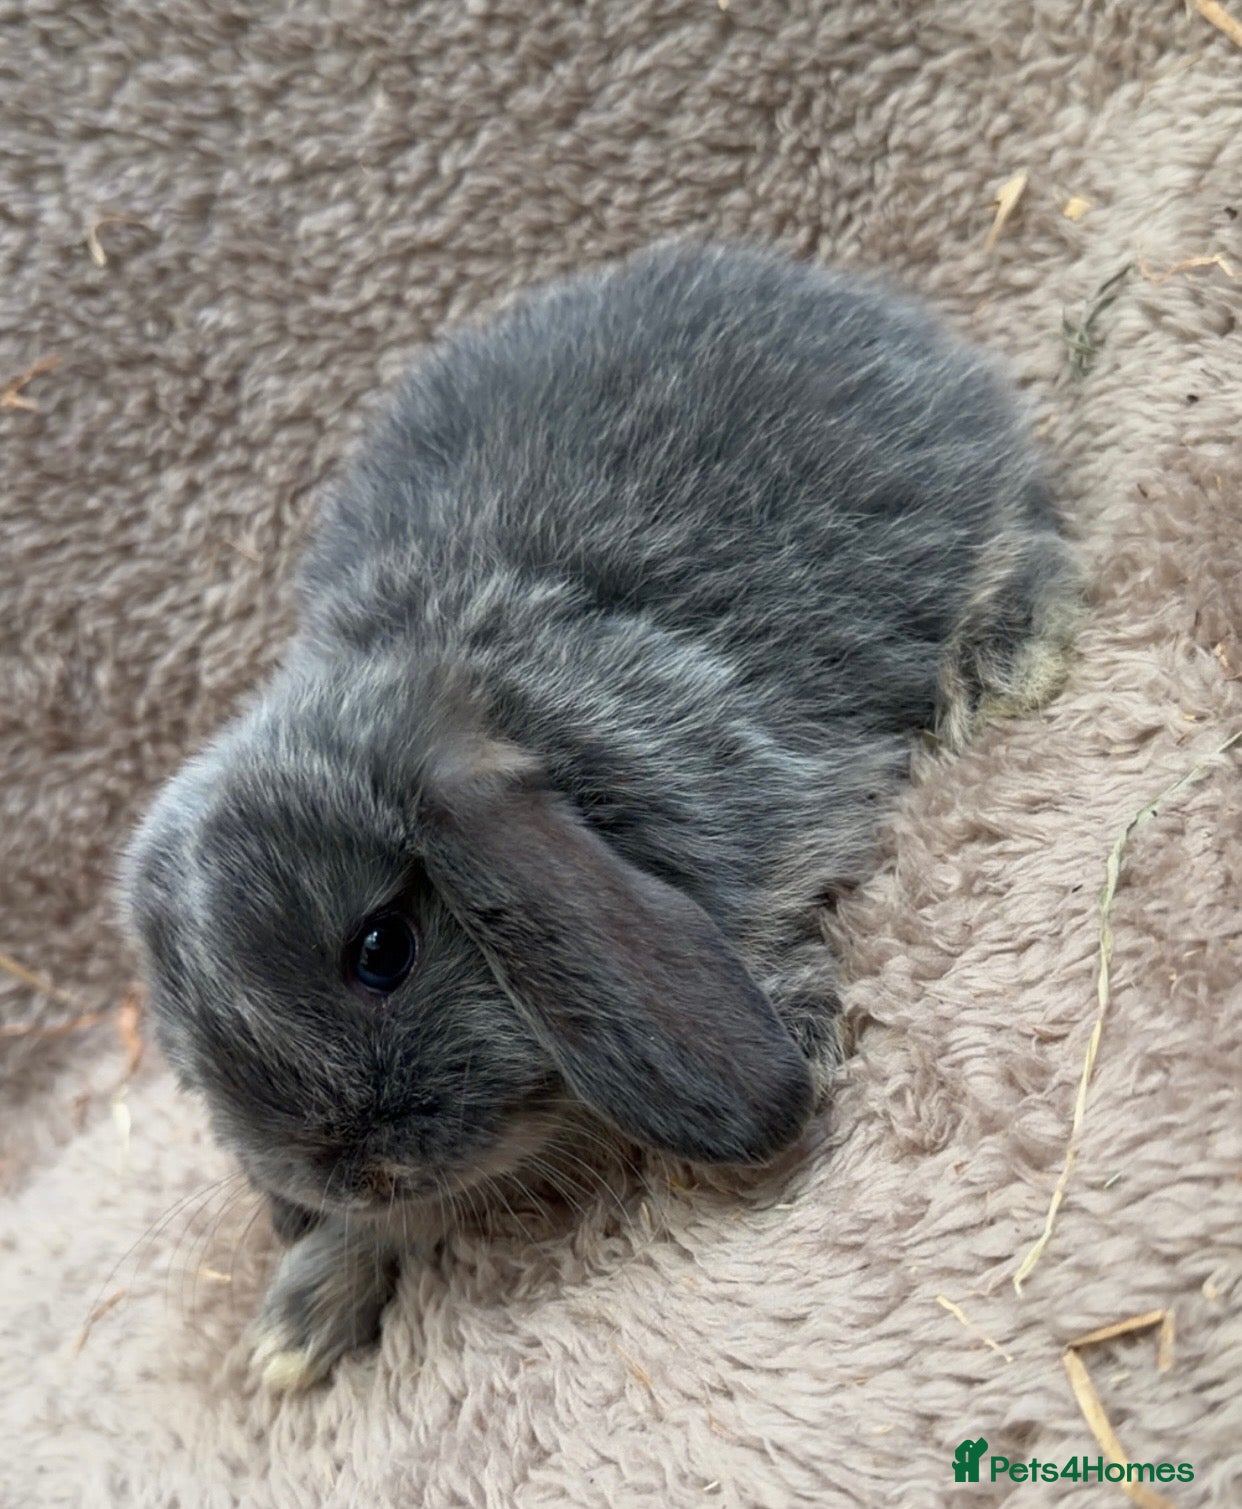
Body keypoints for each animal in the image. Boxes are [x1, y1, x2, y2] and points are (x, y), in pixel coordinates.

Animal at [120, 241, 1078, 1391]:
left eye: (382, 950)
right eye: (196, 1051)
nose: (356, 1169)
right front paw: (296, 1328)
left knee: (1025, 529)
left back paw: (1008, 667)